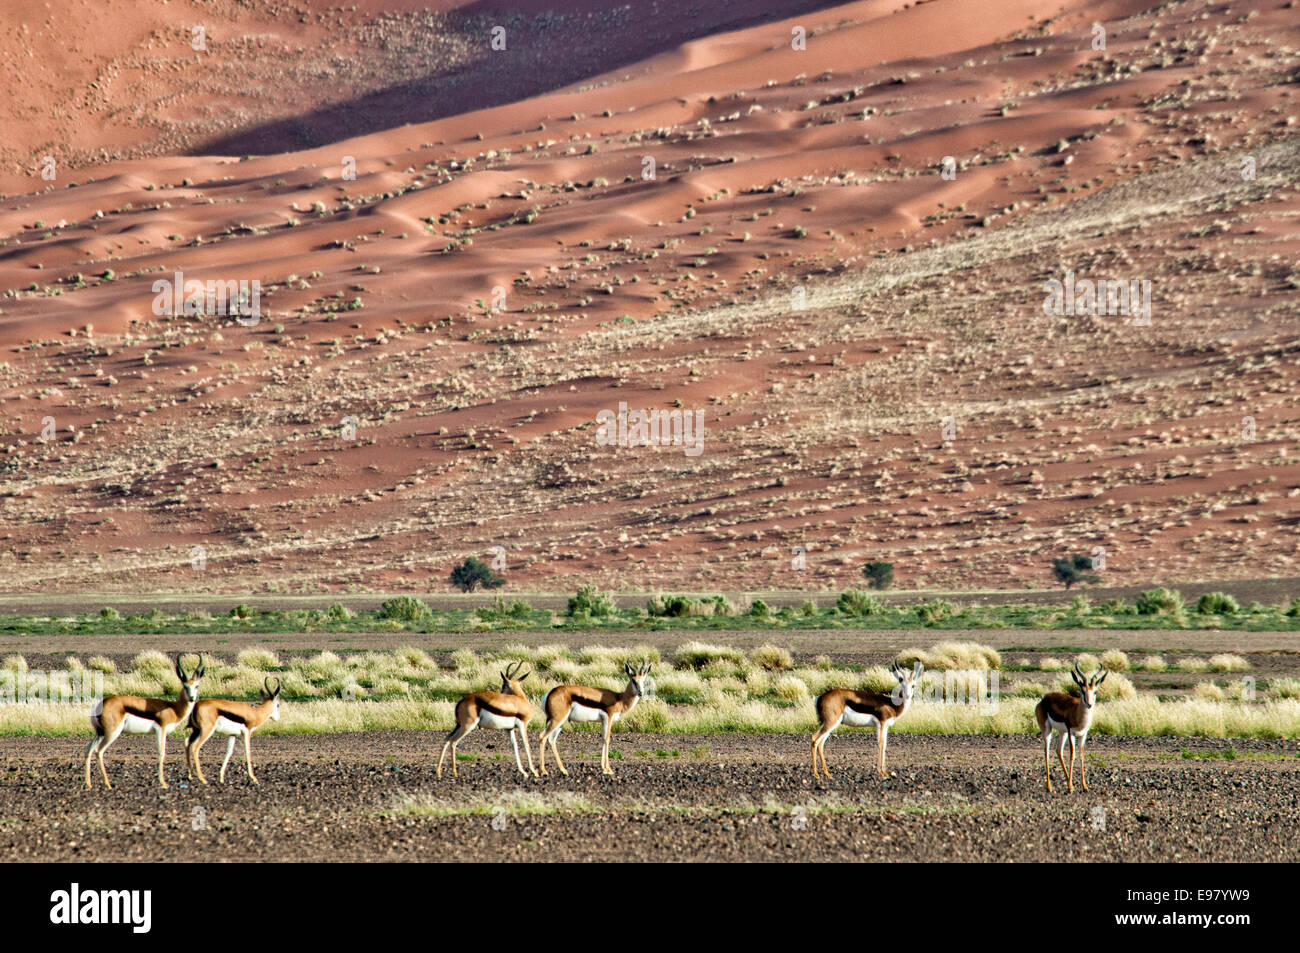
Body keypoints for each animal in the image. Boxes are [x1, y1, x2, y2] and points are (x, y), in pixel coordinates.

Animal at [83, 655, 201, 790]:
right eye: (185, 686)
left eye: (196, 686)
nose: (192, 698)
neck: (173, 709)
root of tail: (100, 705)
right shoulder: (161, 730)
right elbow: (162, 753)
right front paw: (163, 783)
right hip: (112, 733)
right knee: (99, 751)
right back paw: (108, 784)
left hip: (100, 733)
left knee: (88, 750)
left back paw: (89, 784)